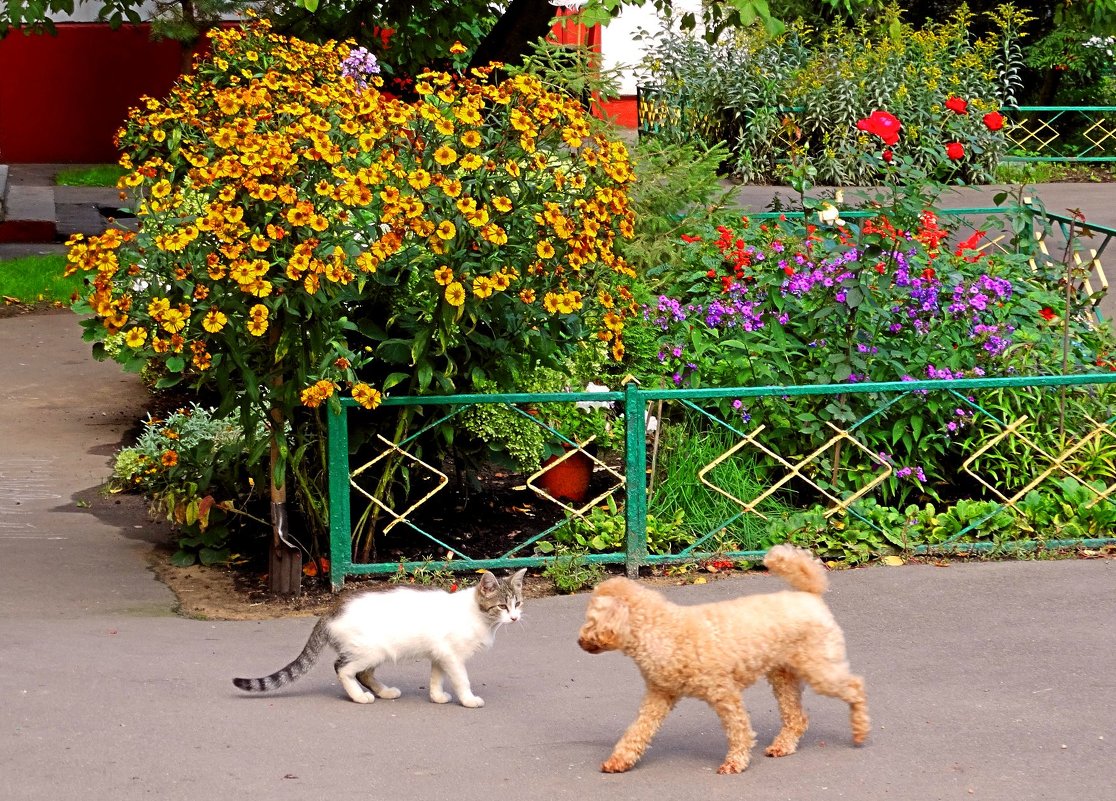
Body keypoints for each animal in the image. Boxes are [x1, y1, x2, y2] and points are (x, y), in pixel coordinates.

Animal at [232, 571, 526, 709]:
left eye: (518, 603)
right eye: (502, 606)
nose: (514, 618)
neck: (479, 617)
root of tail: (331, 610)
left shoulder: (440, 654)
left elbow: (435, 677)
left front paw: (437, 696)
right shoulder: (452, 656)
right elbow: (462, 680)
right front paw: (468, 699)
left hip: (377, 652)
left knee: (363, 673)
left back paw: (384, 692)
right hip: (370, 650)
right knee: (343, 668)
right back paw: (360, 697)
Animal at [580, 548, 866, 776]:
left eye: (590, 618)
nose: (579, 641)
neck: (661, 630)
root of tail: (809, 595)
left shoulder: (724, 693)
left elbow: (739, 730)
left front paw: (735, 763)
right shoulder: (659, 695)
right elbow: (638, 730)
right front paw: (619, 760)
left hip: (819, 667)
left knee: (855, 687)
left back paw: (860, 730)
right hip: (782, 675)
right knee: (796, 717)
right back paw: (783, 746)